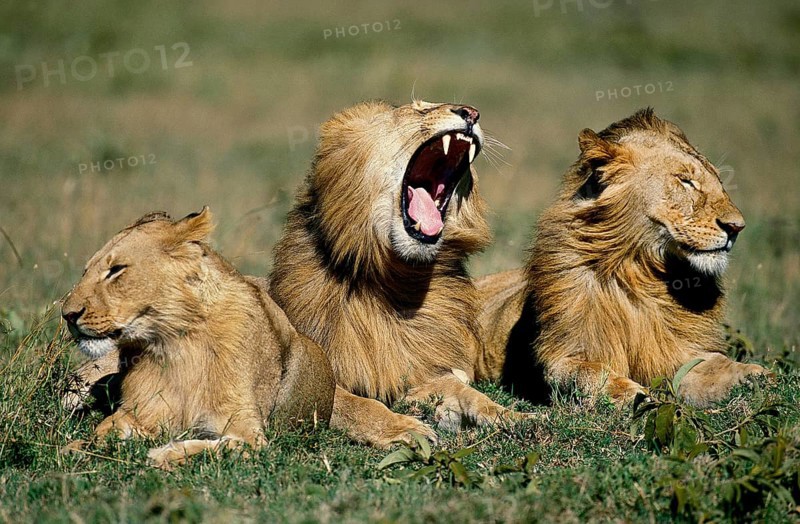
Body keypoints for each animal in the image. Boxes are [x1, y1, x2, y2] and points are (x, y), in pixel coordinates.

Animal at [61, 207, 335, 468]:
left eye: (116, 270)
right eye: (86, 271)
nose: (67, 315)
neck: (175, 341)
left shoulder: (251, 435)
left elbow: (222, 447)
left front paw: (163, 454)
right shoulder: (142, 411)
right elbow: (108, 425)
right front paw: (83, 446)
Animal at [269, 100, 528, 448]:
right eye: (418, 110)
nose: (472, 113)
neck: (397, 278)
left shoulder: (417, 364)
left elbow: (467, 392)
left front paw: (516, 417)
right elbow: (358, 403)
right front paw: (404, 428)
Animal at [475, 108, 770, 407]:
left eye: (719, 181)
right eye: (685, 180)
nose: (736, 227)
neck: (640, 272)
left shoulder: (679, 352)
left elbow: (715, 366)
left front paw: (754, 376)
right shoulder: (562, 355)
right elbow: (588, 373)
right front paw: (630, 393)